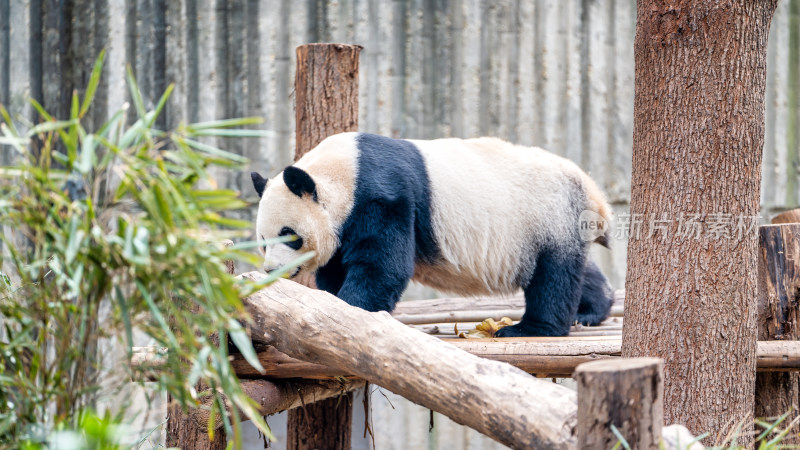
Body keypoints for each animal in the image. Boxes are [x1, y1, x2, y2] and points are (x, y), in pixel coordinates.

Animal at [250, 132, 612, 336]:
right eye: (263, 241)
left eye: (289, 235)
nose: (271, 270)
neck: (342, 170)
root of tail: (591, 187)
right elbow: (338, 267)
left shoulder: (382, 197)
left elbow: (382, 265)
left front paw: (351, 311)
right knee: (574, 270)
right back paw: (591, 310)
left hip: (548, 214)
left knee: (554, 275)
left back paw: (529, 329)